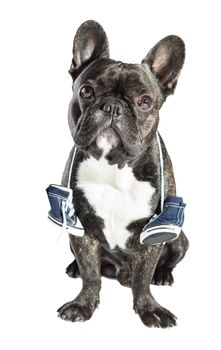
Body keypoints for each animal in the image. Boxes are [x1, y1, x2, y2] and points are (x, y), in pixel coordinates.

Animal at [56, 20, 188, 328]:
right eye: (86, 92)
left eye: (145, 101)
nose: (113, 106)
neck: (113, 165)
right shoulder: (81, 227)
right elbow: (91, 274)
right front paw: (83, 305)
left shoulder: (153, 232)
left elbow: (143, 278)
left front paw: (149, 308)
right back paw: (74, 268)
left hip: (179, 237)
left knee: (167, 261)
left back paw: (163, 275)